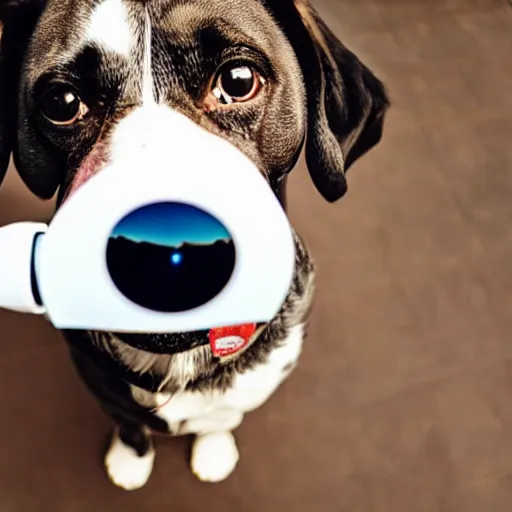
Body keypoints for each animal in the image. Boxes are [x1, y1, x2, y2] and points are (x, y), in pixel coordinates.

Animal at [0, 0, 386, 492]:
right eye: (62, 103)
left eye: (238, 80)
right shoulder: (99, 385)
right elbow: (130, 423)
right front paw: (131, 460)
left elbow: (222, 416)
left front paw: (214, 449)